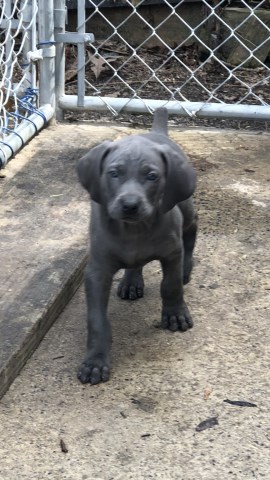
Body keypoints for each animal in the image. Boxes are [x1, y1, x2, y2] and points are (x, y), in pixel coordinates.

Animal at [77, 107, 197, 384]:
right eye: (113, 173)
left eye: (152, 176)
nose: (130, 205)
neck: (134, 231)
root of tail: (156, 131)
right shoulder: (97, 271)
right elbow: (97, 320)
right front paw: (95, 361)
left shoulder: (172, 253)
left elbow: (171, 285)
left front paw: (175, 314)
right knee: (135, 264)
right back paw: (131, 281)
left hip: (186, 210)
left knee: (191, 233)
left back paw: (187, 268)